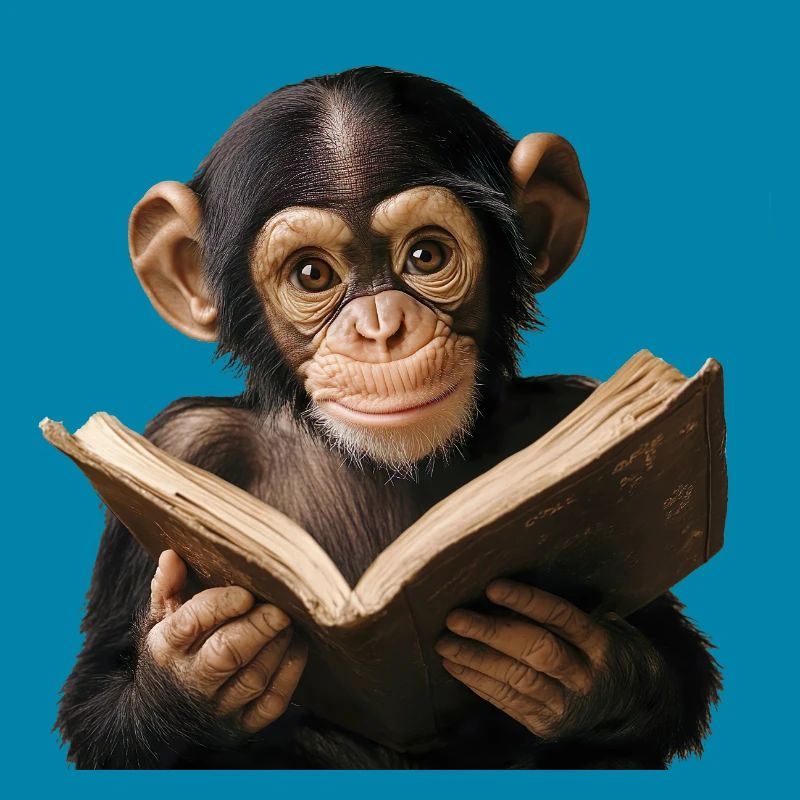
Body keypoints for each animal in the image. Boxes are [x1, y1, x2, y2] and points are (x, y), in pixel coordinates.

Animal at [56, 67, 721, 769]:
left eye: (426, 256)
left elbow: (665, 654)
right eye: (312, 273)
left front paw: (572, 662)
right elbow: (100, 700)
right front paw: (197, 667)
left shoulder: (570, 412)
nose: (382, 328)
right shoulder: (182, 445)